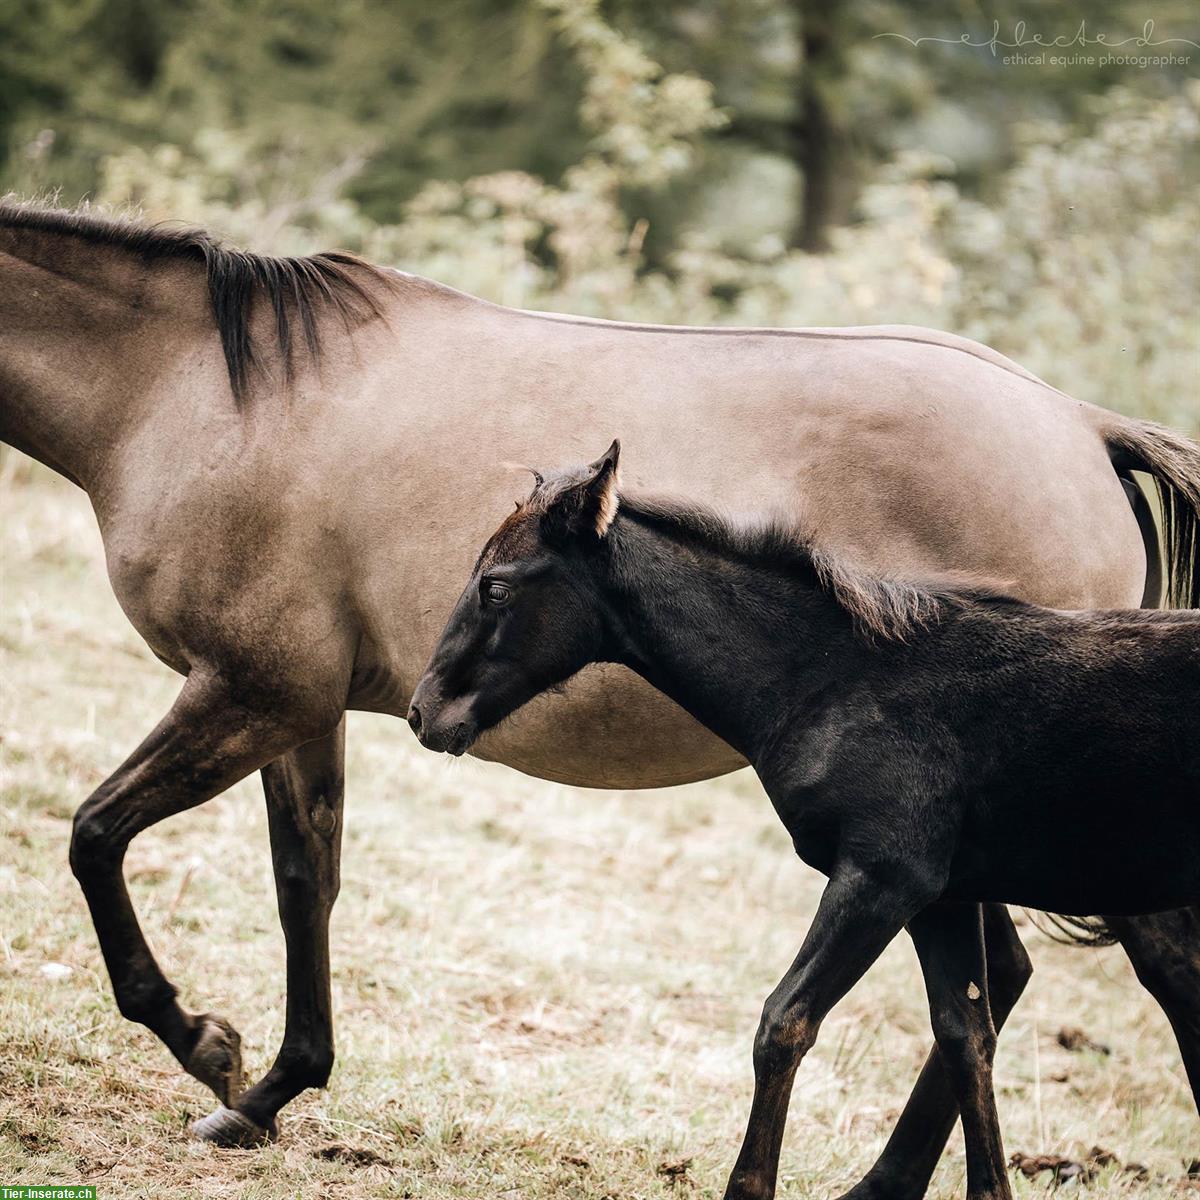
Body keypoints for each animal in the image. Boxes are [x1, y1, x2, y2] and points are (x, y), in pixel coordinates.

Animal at [0, 199, 1195, 1171]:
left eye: (495, 583)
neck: (199, 388)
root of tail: (1083, 423)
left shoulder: (250, 692)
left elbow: (95, 835)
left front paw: (204, 1044)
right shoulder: (297, 709)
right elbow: (308, 884)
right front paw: (268, 1092)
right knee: (999, 990)